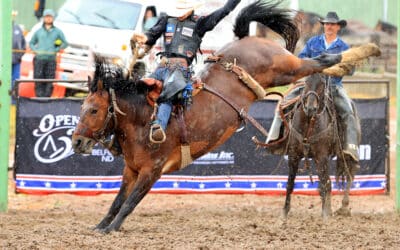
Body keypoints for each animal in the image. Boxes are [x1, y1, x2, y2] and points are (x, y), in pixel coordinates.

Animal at [282, 73, 360, 218]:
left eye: (322, 83)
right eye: (306, 81)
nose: (310, 108)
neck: (308, 124)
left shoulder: (322, 156)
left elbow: (326, 183)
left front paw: (325, 215)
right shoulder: (293, 155)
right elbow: (290, 183)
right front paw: (284, 212)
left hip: (346, 154)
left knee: (349, 173)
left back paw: (344, 207)